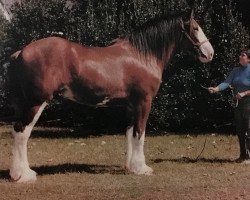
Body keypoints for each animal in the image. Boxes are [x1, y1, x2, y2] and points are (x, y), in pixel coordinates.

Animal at [7, 11, 214, 182]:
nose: (210, 53)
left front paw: (131, 167)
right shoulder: (144, 102)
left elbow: (130, 133)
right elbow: (140, 133)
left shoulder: (131, 105)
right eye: (196, 28)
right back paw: (23, 175)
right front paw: (142, 168)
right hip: (36, 102)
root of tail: (21, 52)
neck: (142, 56)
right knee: (22, 132)